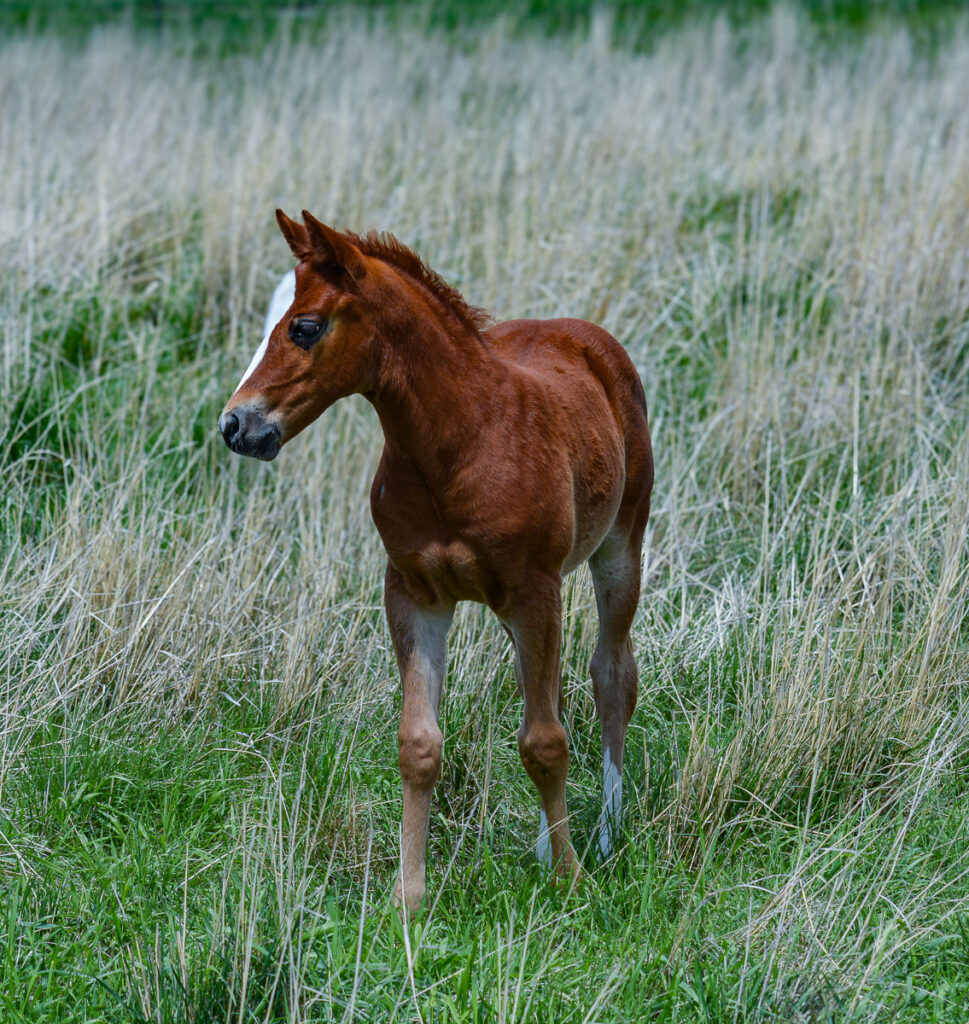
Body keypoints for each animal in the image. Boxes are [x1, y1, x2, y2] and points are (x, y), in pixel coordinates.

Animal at [221, 209, 651, 913]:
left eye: (304, 327)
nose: (236, 426)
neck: (459, 443)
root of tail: (584, 334)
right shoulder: (414, 594)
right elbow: (420, 744)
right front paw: (409, 896)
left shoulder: (535, 590)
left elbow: (545, 741)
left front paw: (570, 879)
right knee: (549, 691)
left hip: (619, 548)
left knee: (609, 675)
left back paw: (608, 833)